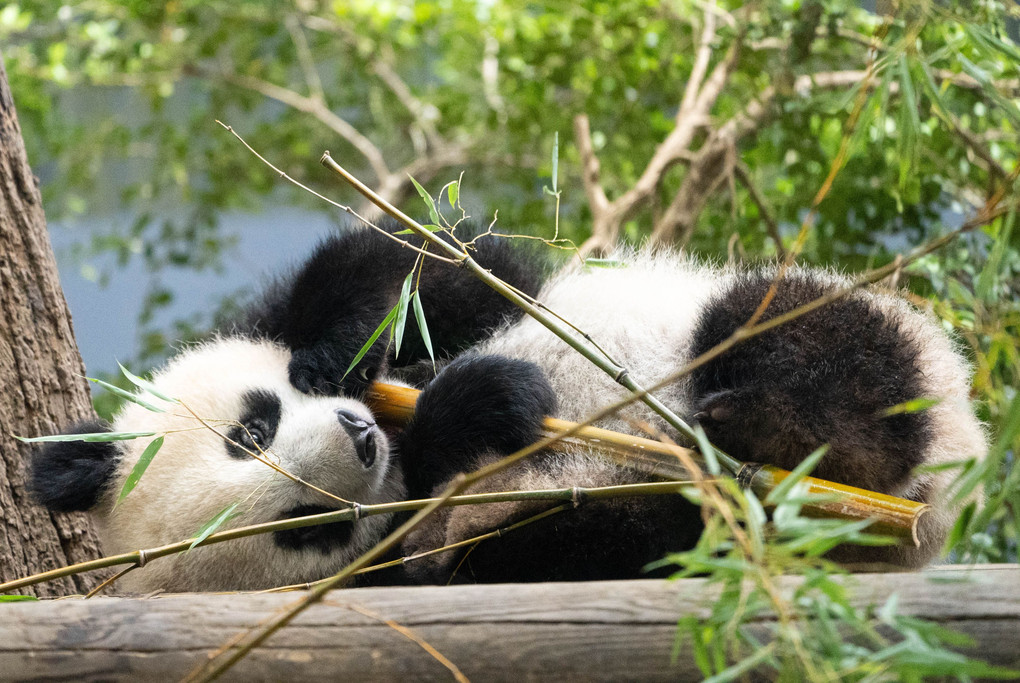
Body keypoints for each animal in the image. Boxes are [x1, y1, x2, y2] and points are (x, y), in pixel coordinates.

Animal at [31, 221, 987, 595]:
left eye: (255, 423)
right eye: (309, 524)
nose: (360, 434)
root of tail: (925, 513)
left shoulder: (469, 294)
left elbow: (431, 263)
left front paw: (343, 350)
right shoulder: (397, 559)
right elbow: (429, 515)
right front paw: (479, 402)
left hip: (812, 338)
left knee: (795, 330)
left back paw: (771, 415)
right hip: (607, 525)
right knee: (615, 534)